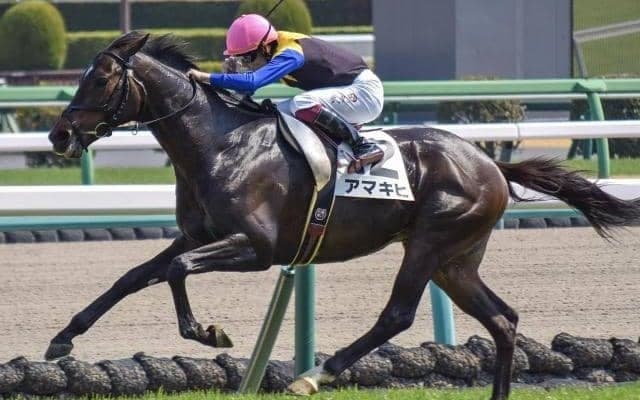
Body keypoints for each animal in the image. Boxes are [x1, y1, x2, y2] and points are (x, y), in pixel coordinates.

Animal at [46, 32, 640, 400]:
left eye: (100, 80)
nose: (59, 134)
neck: (218, 144)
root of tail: (490, 162)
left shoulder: (257, 248)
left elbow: (175, 271)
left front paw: (210, 333)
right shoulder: (195, 236)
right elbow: (132, 276)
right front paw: (63, 338)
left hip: (430, 243)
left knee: (398, 315)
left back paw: (314, 375)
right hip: (456, 260)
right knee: (502, 319)